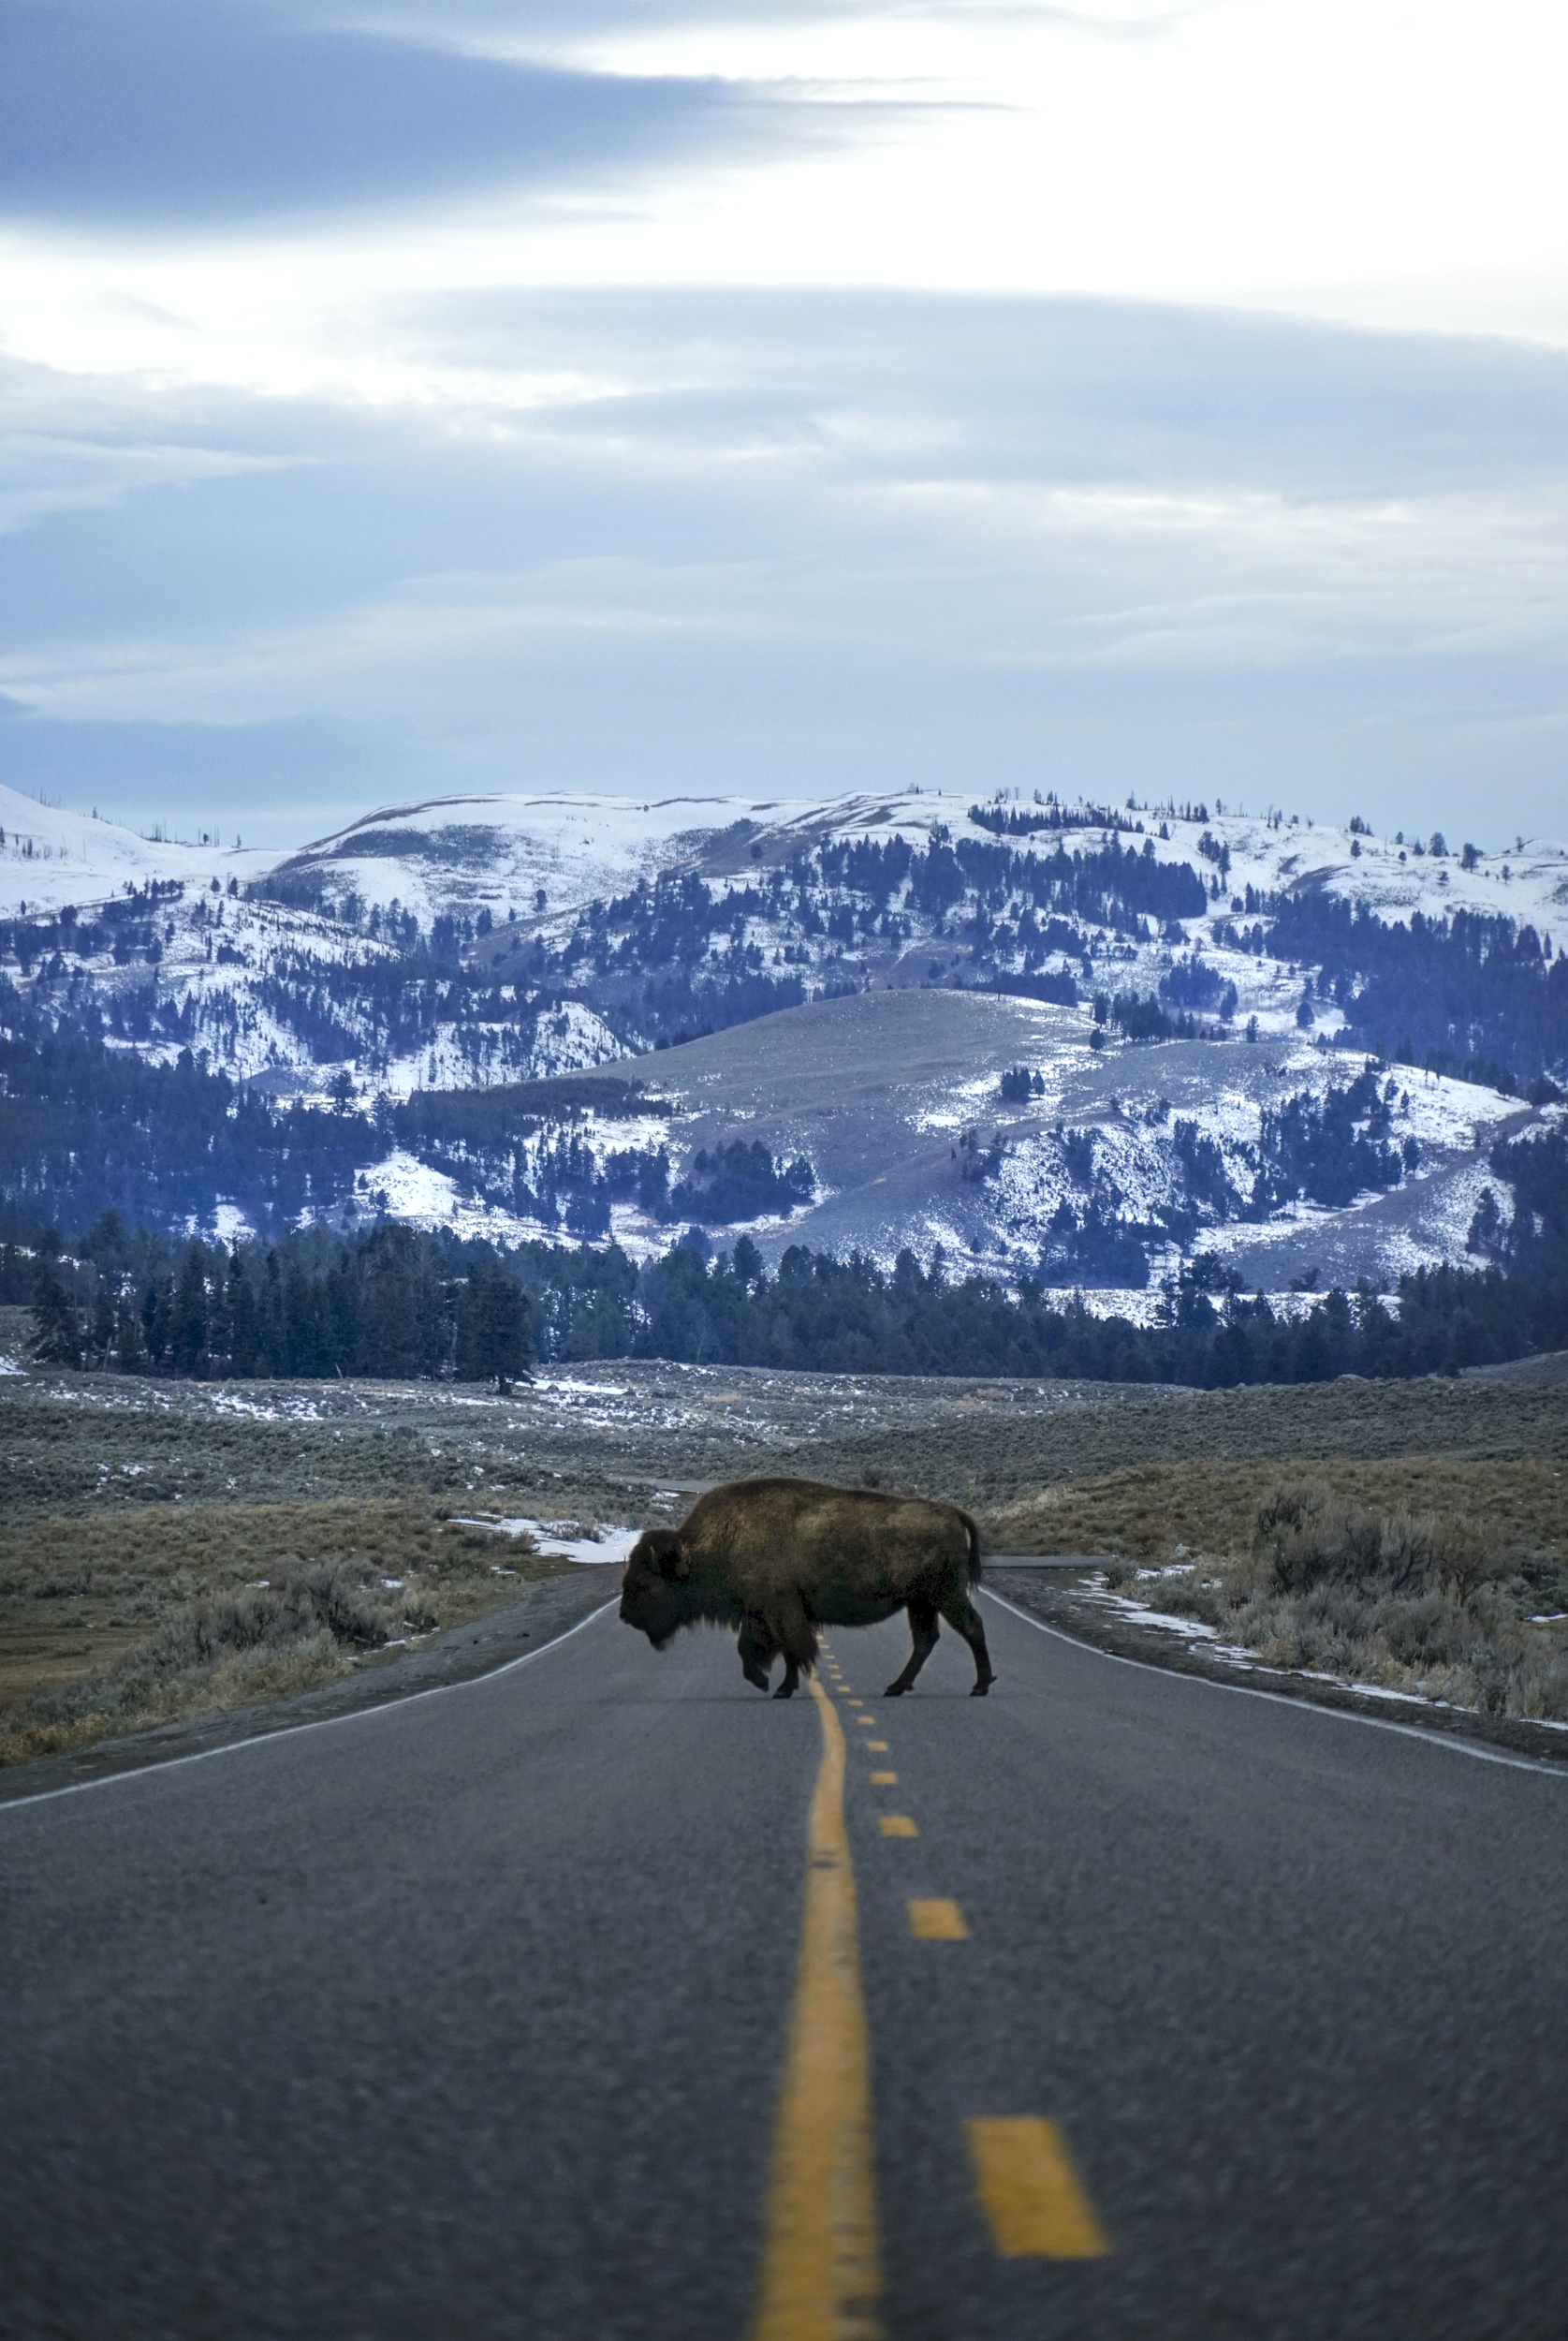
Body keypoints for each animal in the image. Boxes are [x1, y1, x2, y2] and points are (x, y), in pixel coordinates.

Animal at [618, 1476, 994, 1698]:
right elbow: (754, 1650)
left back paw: (980, 1686)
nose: (624, 1616)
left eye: (644, 1582)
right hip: (921, 1602)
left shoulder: (781, 1611)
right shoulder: (760, 1613)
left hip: (944, 1596)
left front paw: (778, 1687)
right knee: (925, 1640)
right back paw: (896, 1687)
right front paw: (768, 1682)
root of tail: (952, 1513)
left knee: (971, 1627)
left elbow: (790, 1649)